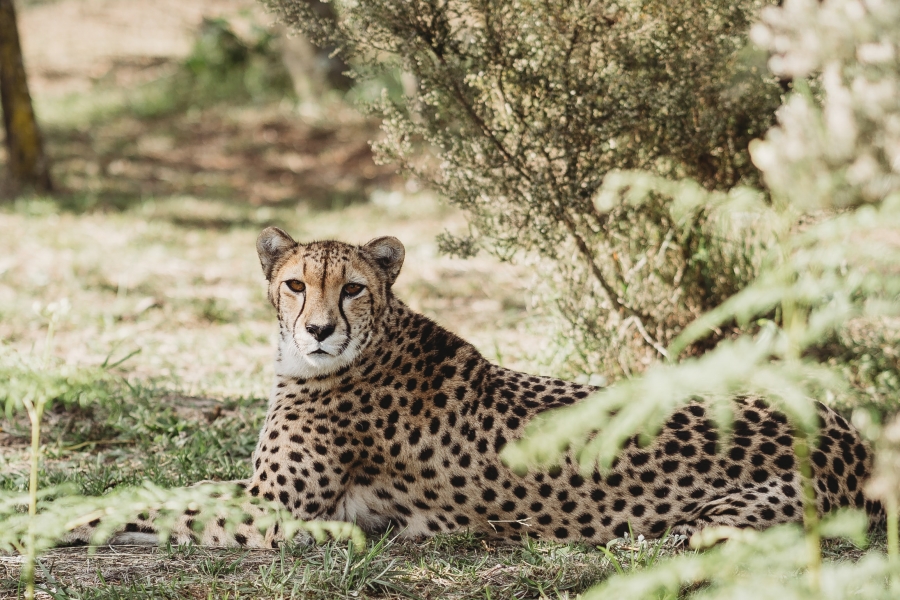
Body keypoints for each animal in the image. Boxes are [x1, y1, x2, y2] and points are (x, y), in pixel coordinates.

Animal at [65, 230, 880, 548]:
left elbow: (164, 502)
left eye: (353, 288)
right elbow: (163, 490)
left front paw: (63, 517)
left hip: (720, 521)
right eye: (295, 284)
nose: (319, 330)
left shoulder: (280, 514)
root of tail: (849, 431)